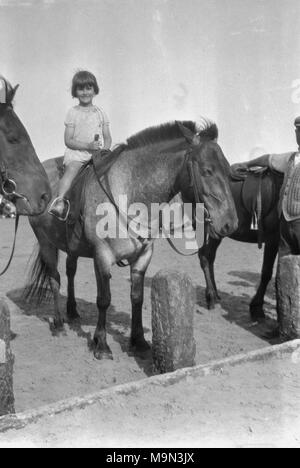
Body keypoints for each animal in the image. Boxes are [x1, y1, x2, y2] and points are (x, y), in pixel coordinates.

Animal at [27, 119, 238, 358]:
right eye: (207, 171)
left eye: (228, 171)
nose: (230, 223)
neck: (129, 193)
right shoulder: (102, 256)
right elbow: (103, 300)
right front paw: (101, 343)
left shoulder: (142, 256)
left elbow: (137, 298)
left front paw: (139, 341)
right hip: (46, 243)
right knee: (54, 278)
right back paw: (59, 323)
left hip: (72, 247)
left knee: (70, 271)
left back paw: (72, 311)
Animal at [198, 166, 282, 320]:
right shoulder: (273, 239)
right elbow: (267, 273)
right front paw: (257, 308)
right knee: (205, 256)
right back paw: (211, 297)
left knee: (209, 256)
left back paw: (216, 295)